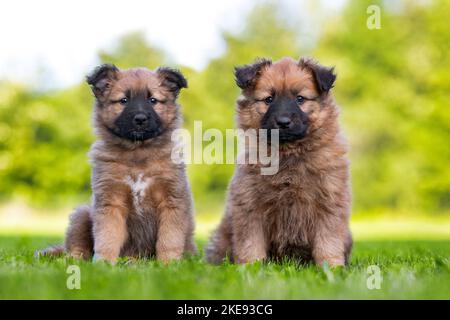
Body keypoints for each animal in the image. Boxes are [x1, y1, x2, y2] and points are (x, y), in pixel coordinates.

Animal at [39, 64, 198, 262]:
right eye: (124, 100)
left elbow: (169, 238)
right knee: (76, 246)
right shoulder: (110, 202)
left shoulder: (172, 200)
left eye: (153, 100)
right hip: (82, 214)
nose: (140, 119)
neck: (138, 154)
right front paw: (104, 262)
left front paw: (168, 263)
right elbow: (107, 237)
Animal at [207, 56, 352, 266]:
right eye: (269, 99)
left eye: (300, 99)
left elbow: (328, 242)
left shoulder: (329, 203)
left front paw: (331, 267)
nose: (283, 122)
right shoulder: (249, 204)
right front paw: (251, 267)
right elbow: (251, 243)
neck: (287, 154)